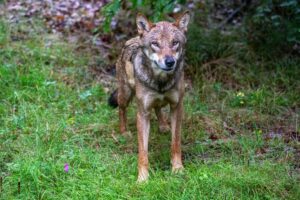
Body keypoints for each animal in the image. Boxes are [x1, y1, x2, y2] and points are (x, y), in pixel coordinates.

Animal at [108, 11, 190, 182]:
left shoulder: (177, 107)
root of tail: (133, 39)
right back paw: (124, 132)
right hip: (125, 94)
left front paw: (177, 169)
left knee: (158, 107)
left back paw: (163, 126)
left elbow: (175, 143)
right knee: (121, 109)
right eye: (155, 44)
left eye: (175, 43)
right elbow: (143, 153)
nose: (170, 62)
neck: (160, 82)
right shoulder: (143, 113)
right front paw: (142, 179)